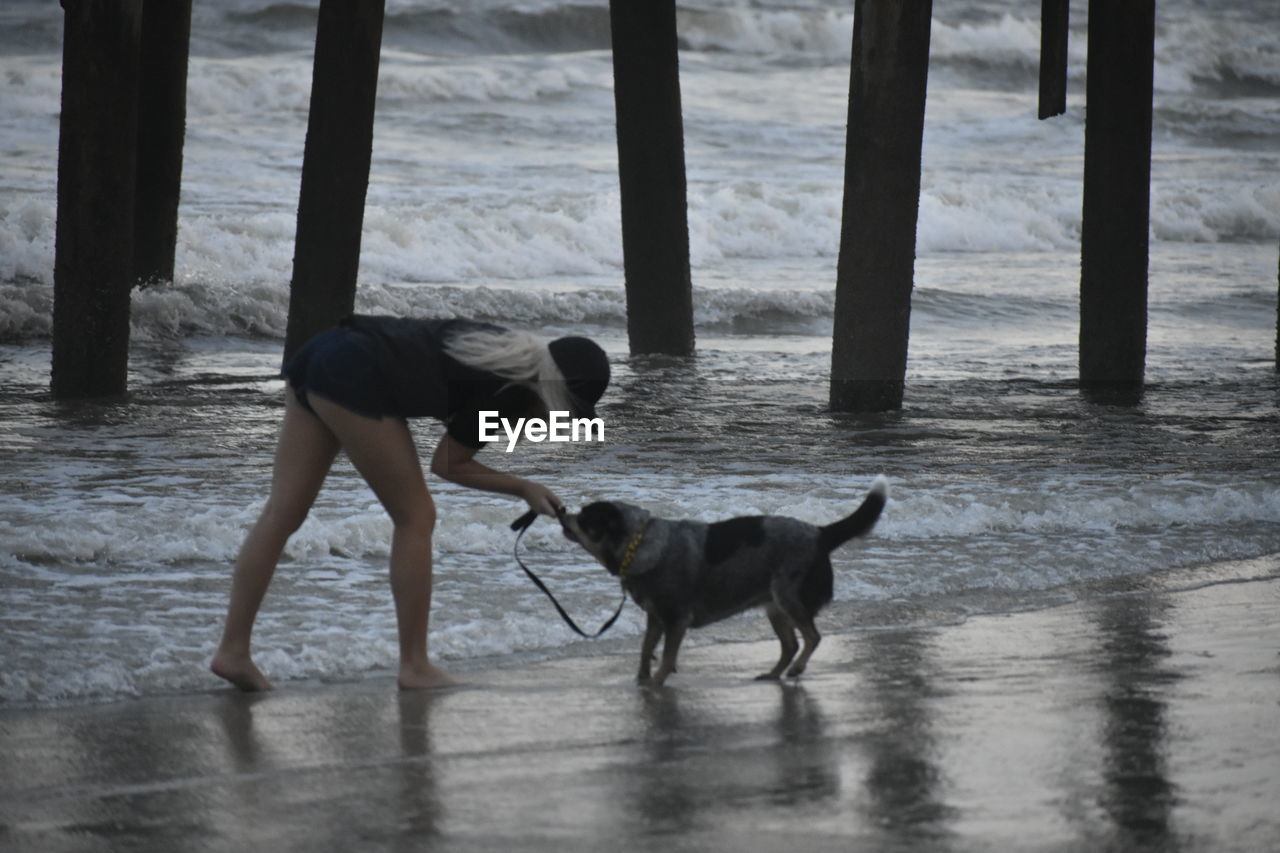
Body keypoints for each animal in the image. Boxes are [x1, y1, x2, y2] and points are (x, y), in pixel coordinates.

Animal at [563, 471, 890, 686]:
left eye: (583, 518)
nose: (563, 511)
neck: (637, 542)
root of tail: (820, 533)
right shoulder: (656, 617)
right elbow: (646, 648)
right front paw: (643, 677)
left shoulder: (676, 619)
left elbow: (667, 656)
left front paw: (656, 681)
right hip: (774, 605)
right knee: (790, 644)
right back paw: (773, 674)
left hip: (788, 595)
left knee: (812, 637)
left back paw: (796, 669)